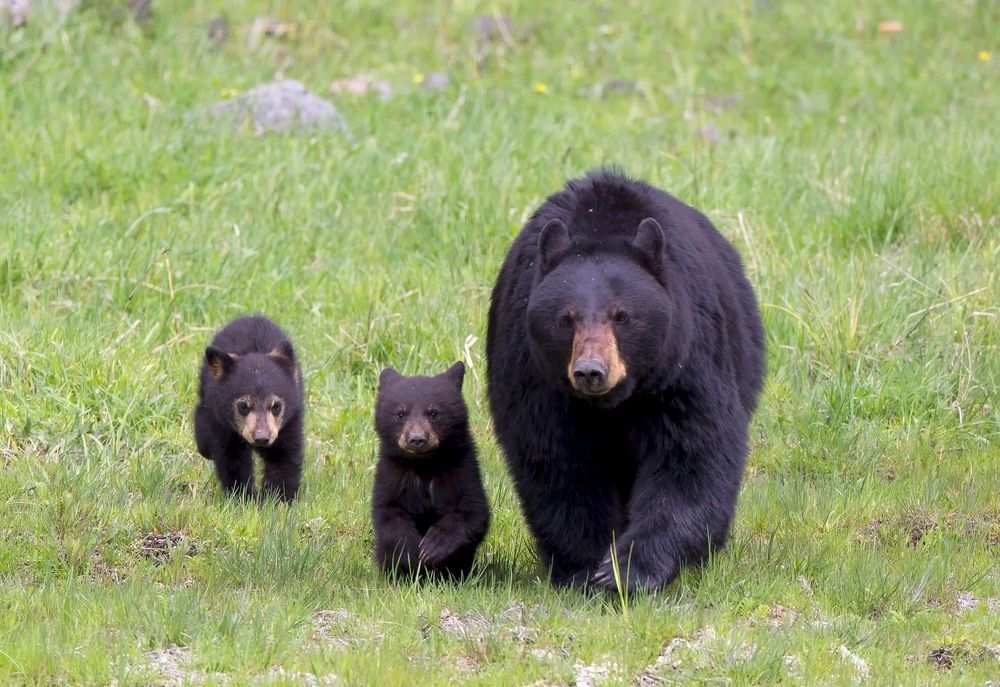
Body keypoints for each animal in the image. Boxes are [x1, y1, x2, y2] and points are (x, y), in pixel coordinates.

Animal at [194, 315, 305, 502]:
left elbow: (284, 458)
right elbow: (232, 460)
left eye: (276, 406)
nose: (262, 438)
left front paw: (278, 499)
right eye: (243, 406)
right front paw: (243, 497)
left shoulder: (289, 423)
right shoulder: (222, 424)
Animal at [371, 362, 490, 580]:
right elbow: (388, 513)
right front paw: (413, 554)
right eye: (400, 413)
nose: (417, 439)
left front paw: (433, 547)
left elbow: (471, 512)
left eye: (434, 412)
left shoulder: (460, 470)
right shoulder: (392, 474)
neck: (424, 465)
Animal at [486, 169, 765, 593]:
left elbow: (690, 456)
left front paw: (630, 569)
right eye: (566, 318)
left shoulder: (682, 366)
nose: (590, 370)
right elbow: (559, 463)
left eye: (622, 316)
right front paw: (586, 567)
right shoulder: (534, 374)